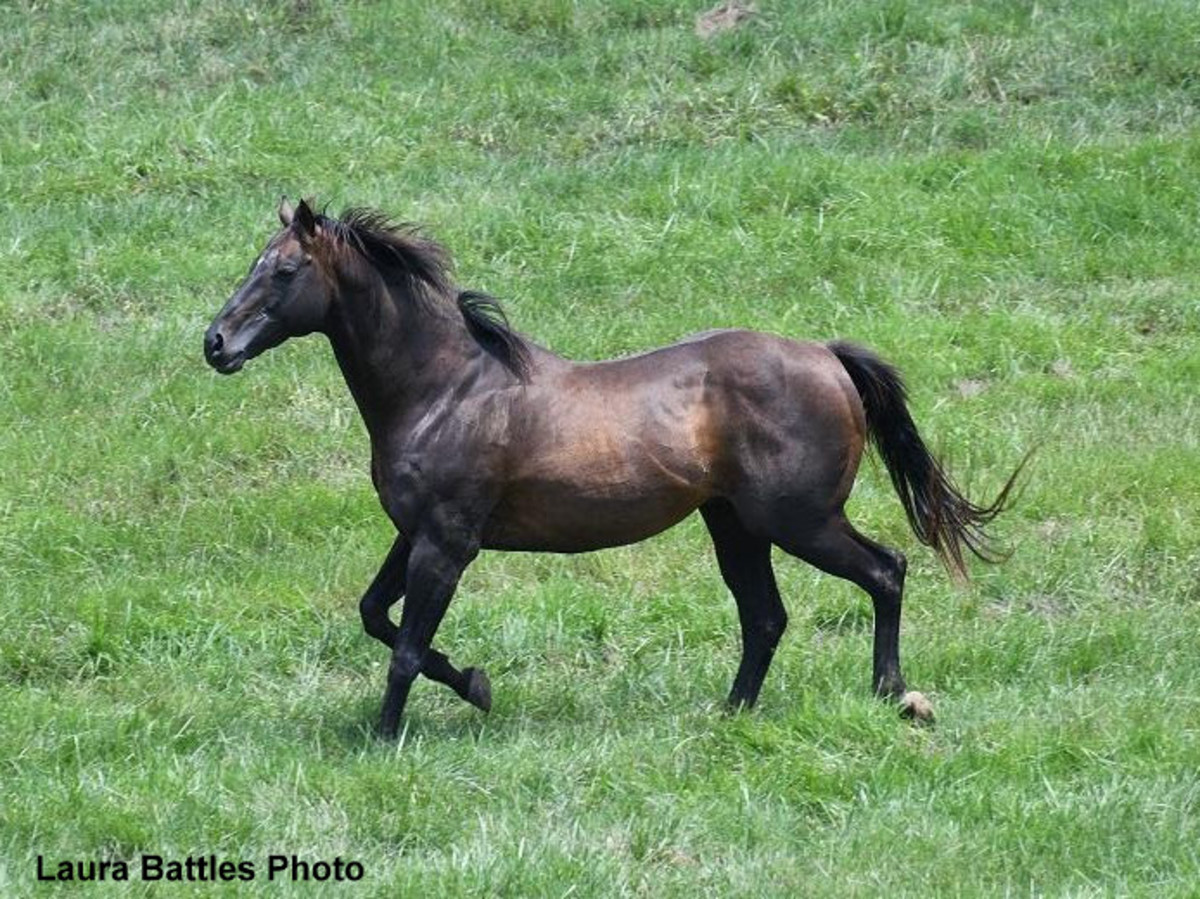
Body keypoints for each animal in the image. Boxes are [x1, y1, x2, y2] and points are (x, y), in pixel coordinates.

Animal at [201, 198, 1017, 734]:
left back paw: (894, 693)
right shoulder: (413, 534)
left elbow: (403, 646)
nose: (215, 343)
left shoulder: (447, 542)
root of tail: (827, 355)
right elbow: (377, 615)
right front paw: (476, 685)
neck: (446, 388)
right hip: (735, 525)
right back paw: (731, 713)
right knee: (766, 615)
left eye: (283, 271)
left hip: (801, 520)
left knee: (885, 570)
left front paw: (386, 734)